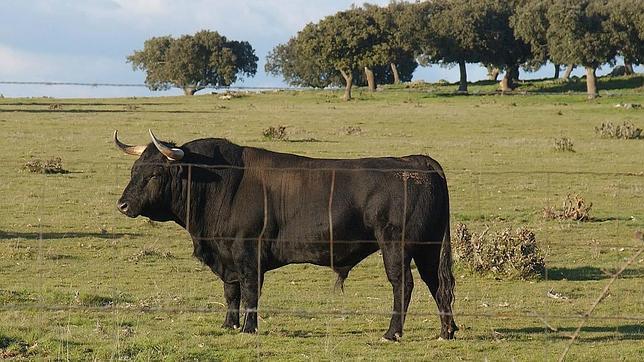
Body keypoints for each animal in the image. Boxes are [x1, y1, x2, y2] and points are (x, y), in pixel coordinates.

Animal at [115, 132, 458, 340]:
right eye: (134, 170)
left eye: (155, 173)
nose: (123, 205)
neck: (222, 184)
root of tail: (416, 161)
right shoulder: (227, 258)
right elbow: (231, 293)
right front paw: (229, 324)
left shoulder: (248, 254)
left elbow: (250, 293)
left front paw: (248, 328)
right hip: (428, 249)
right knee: (437, 285)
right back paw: (447, 330)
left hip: (396, 247)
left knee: (404, 284)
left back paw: (393, 332)